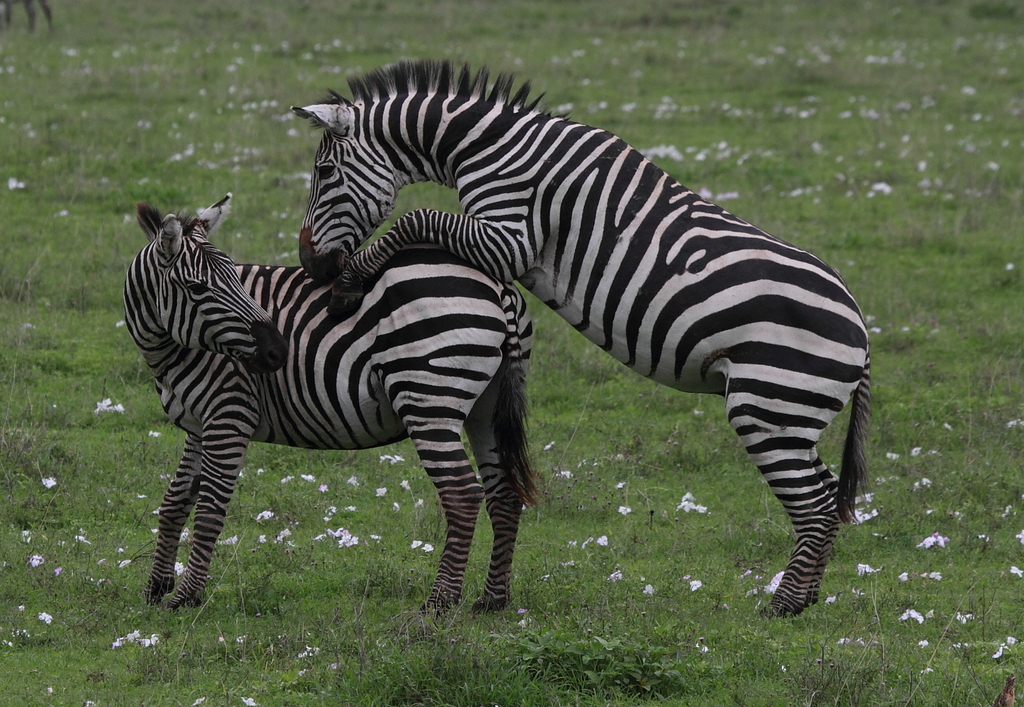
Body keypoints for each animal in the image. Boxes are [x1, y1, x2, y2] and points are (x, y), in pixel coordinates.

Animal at [126, 193, 536, 612]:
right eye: (196, 288)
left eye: (237, 280)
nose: (278, 351)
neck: (173, 350)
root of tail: (498, 285)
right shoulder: (199, 425)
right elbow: (174, 501)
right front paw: (156, 587)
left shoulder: (229, 414)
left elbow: (209, 508)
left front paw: (185, 596)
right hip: (486, 407)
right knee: (504, 494)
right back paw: (492, 599)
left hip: (428, 398)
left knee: (463, 495)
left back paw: (439, 601)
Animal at [290, 60, 871, 618]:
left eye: (324, 172)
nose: (311, 264)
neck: (487, 146)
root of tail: (862, 329)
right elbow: (420, 221)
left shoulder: (508, 239)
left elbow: (415, 217)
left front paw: (348, 286)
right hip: (792, 415)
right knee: (825, 497)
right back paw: (806, 597)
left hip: (769, 406)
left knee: (815, 504)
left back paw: (784, 606)